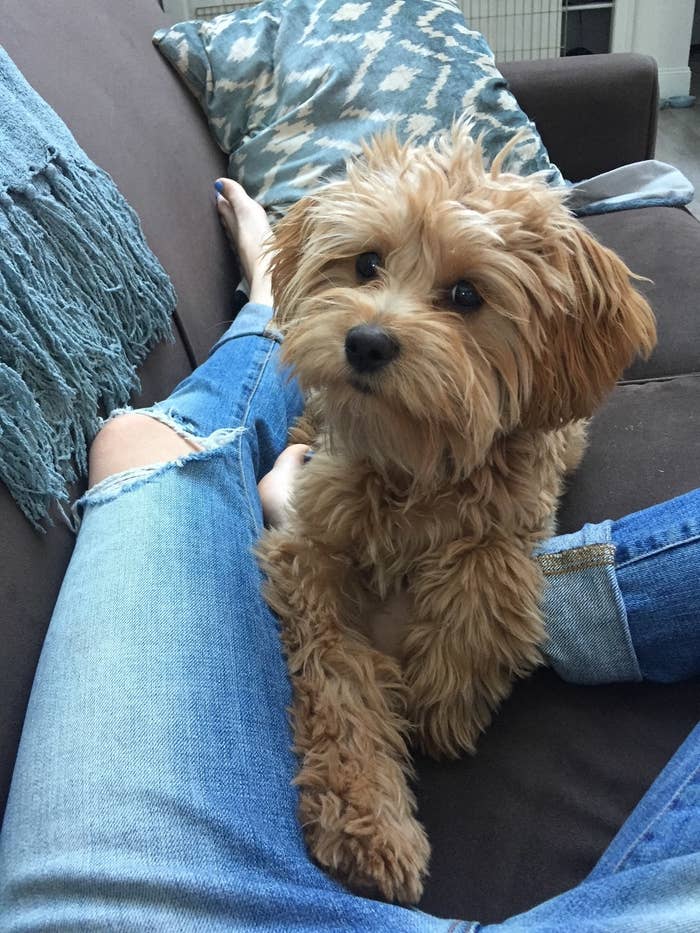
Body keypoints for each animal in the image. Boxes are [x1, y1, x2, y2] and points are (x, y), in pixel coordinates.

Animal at [256, 124, 656, 904]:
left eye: (466, 294)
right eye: (366, 263)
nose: (367, 341)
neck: (415, 465)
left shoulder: (518, 515)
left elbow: (486, 575)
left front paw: (445, 696)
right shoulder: (310, 553)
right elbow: (338, 677)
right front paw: (367, 817)